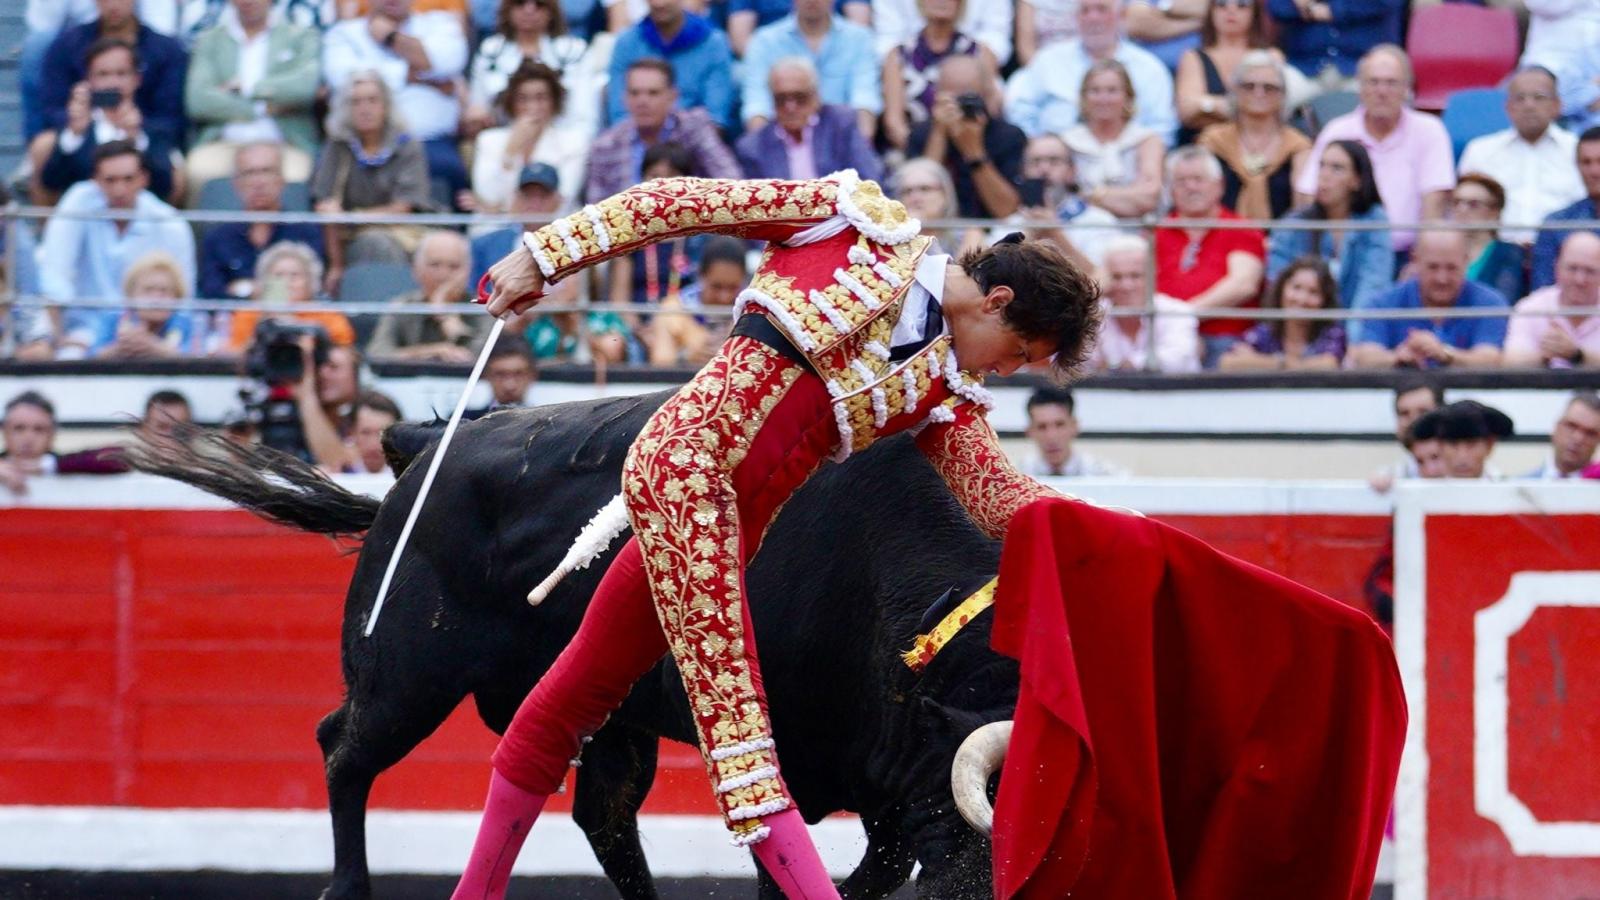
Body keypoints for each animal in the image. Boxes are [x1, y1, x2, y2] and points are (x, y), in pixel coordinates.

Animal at [137, 389, 1017, 890]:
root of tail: (426, 451)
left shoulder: (885, 784)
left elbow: (876, 864)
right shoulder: (798, 769)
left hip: (610, 714)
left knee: (604, 815)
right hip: (407, 678)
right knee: (342, 750)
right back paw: (347, 887)